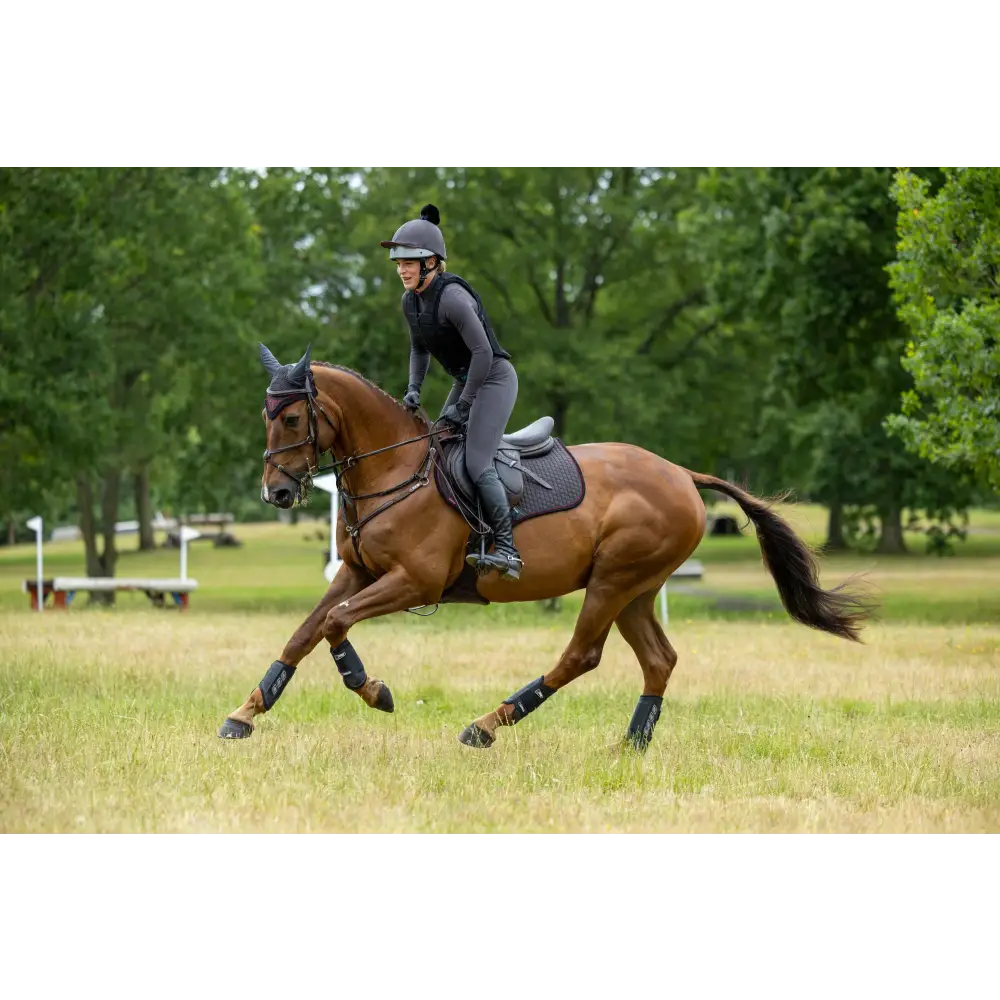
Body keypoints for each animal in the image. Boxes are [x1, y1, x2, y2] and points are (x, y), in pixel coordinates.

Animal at [219, 348, 876, 748]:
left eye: (293, 419)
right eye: (265, 416)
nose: (277, 491)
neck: (395, 471)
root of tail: (683, 475)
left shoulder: (414, 581)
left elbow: (335, 624)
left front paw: (372, 689)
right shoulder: (355, 572)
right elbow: (305, 632)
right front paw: (245, 713)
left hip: (613, 581)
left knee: (581, 656)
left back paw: (487, 725)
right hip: (635, 589)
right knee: (658, 660)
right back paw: (631, 745)